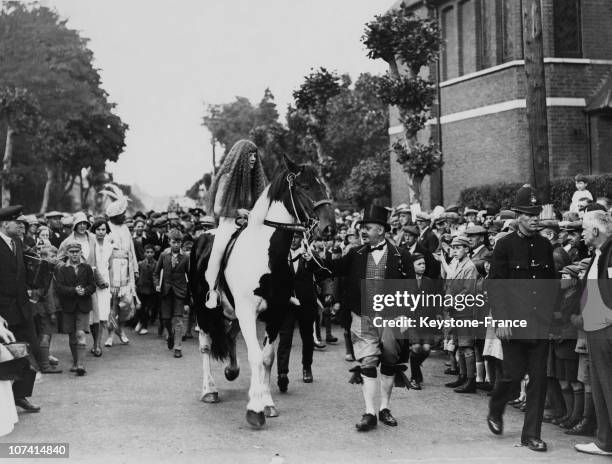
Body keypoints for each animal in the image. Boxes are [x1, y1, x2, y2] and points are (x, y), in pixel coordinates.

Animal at [190, 156, 334, 428]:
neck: (264, 255)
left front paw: (266, 402)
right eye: (305, 186)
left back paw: (232, 370)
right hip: (202, 310)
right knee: (204, 346)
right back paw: (209, 390)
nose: (330, 227)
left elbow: (267, 357)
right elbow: (255, 356)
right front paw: (255, 409)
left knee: (231, 336)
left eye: (323, 184)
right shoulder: (248, 312)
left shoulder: (275, 313)